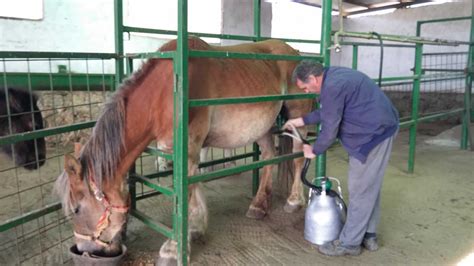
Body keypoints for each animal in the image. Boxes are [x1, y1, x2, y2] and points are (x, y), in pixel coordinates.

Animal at [55, 37, 314, 264]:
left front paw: (173, 249)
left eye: (76, 209)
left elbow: (186, 191)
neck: (165, 91)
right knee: (270, 156)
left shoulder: (189, 147)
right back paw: (259, 204)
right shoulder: (185, 151)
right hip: (262, 128)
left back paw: (294, 201)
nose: (86, 250)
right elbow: (194, 185)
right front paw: (196, 227)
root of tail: (294, 52)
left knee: (300, 157)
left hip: (298, 117)